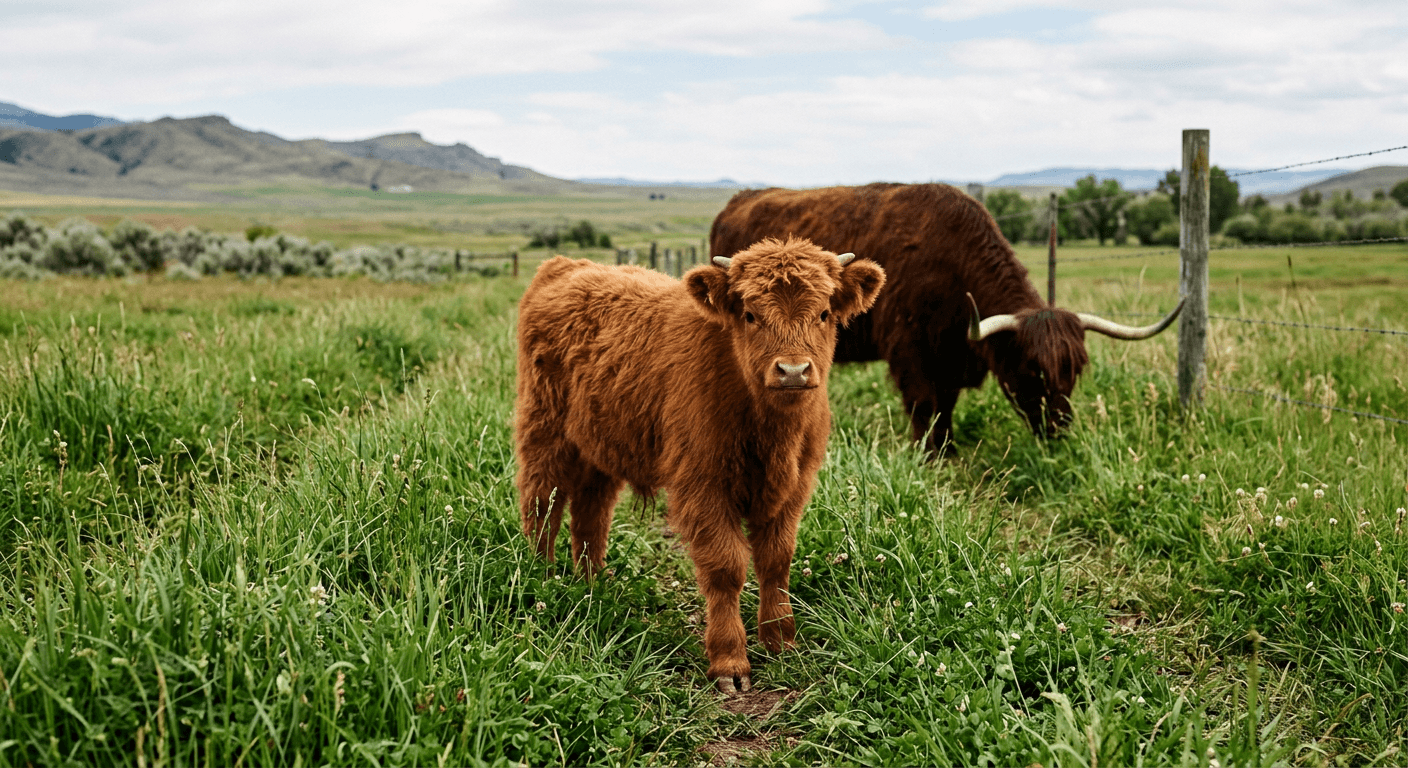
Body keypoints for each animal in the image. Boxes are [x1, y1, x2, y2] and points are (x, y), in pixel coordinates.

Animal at [514, 237, 885, 693]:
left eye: (824, 313)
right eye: (750, 315)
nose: (793, 370)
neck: (770, 430)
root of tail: (567, 265)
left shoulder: (794, 489)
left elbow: (776, 560)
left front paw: (781, 641)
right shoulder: (703, 486)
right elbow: (726, 567)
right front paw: (730, 662)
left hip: (598, 446)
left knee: (590, 514)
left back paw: (593, 585)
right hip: (544, 428)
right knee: (540, 501)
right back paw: (541, 576)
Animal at [711, 183, 1182, 454]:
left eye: (1076, 369)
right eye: (1034, 370)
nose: (1060, 430)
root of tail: (738, 199)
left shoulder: (951, 355)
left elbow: (947, 404)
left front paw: (949, 447)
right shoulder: (909, 348)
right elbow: (924, 403)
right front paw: (928, 453)